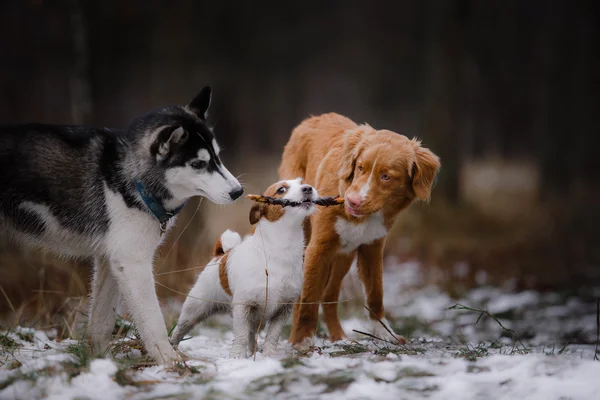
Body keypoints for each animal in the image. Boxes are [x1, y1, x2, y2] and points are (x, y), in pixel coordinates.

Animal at [170, 178, 318, 356]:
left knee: (251, 334)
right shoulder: (243, 306)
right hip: (194, 309)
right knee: (180, 328)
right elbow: (240, 334)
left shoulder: (283, 309)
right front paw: (237, 356)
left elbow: (272, 335)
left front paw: (269, 354)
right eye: (281, 190)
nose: (308, 188)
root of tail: (221, 255)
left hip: (253, 318)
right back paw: (173, 347)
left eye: (302, 182)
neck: (280, 248)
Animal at [278, 112, 440, 346]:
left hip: (343, 257)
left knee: (329, 295)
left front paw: (384, 333)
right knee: (303, 296)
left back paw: (338, 337)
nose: (352, 201)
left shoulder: (372, 247)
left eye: (386, 176)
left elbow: (375, 293)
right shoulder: (317, 248)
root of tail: (313, 118)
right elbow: (308, 297)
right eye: (360, 167)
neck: (364, 218)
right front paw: (301, 341)